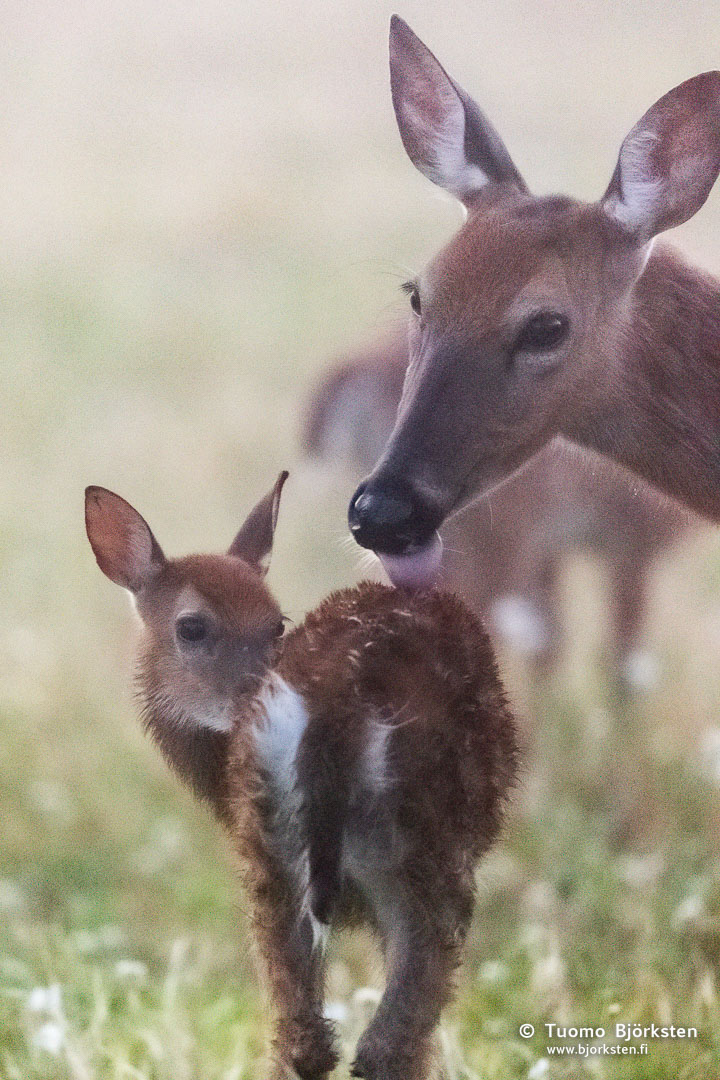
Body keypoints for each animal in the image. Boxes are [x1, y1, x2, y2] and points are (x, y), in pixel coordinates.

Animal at [84, 475, 518, 1080]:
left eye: (277, 623)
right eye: (192, 627)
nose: (249, 690)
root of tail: (342, 692)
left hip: (289, 849)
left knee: (321, 1039)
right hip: (414, 843)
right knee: (382, 1037)